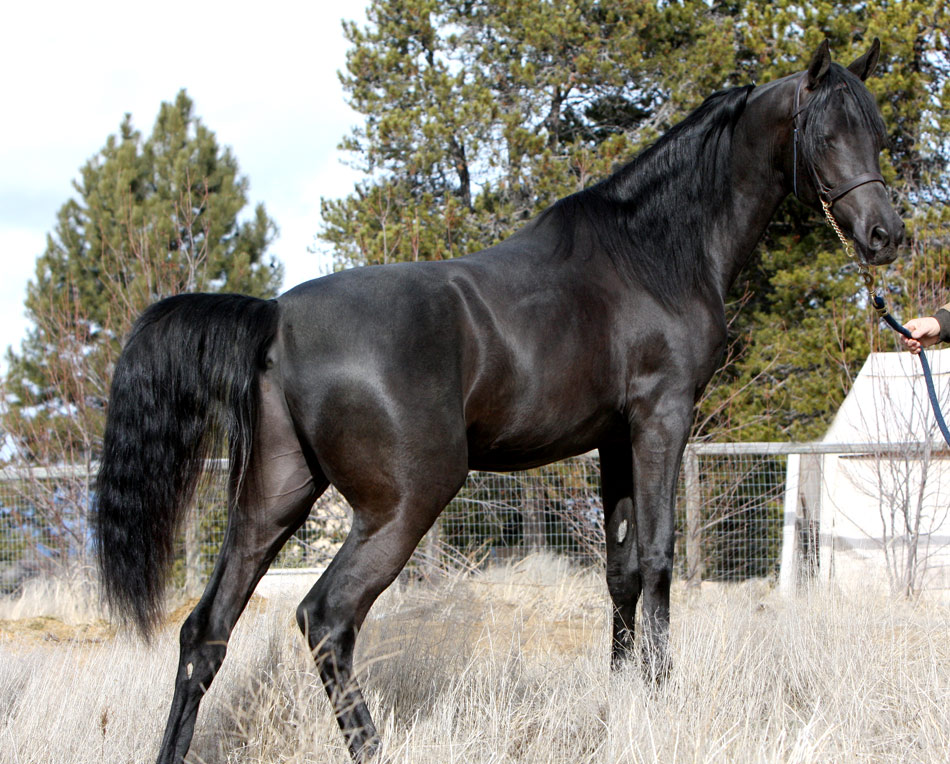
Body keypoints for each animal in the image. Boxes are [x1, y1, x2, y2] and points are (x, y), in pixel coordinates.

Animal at [94, 39, 903, 763]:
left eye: (877, 131)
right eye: (826, 133)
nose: (885, 234)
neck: (653, 254)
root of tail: (275, 317)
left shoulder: (613, 437)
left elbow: (621, 572)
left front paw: (620, 699)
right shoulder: (660, 419)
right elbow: (659, 559)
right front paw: (659, 694)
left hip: (273, 500)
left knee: (205, 632)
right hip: (405, 502)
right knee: (325, 619)